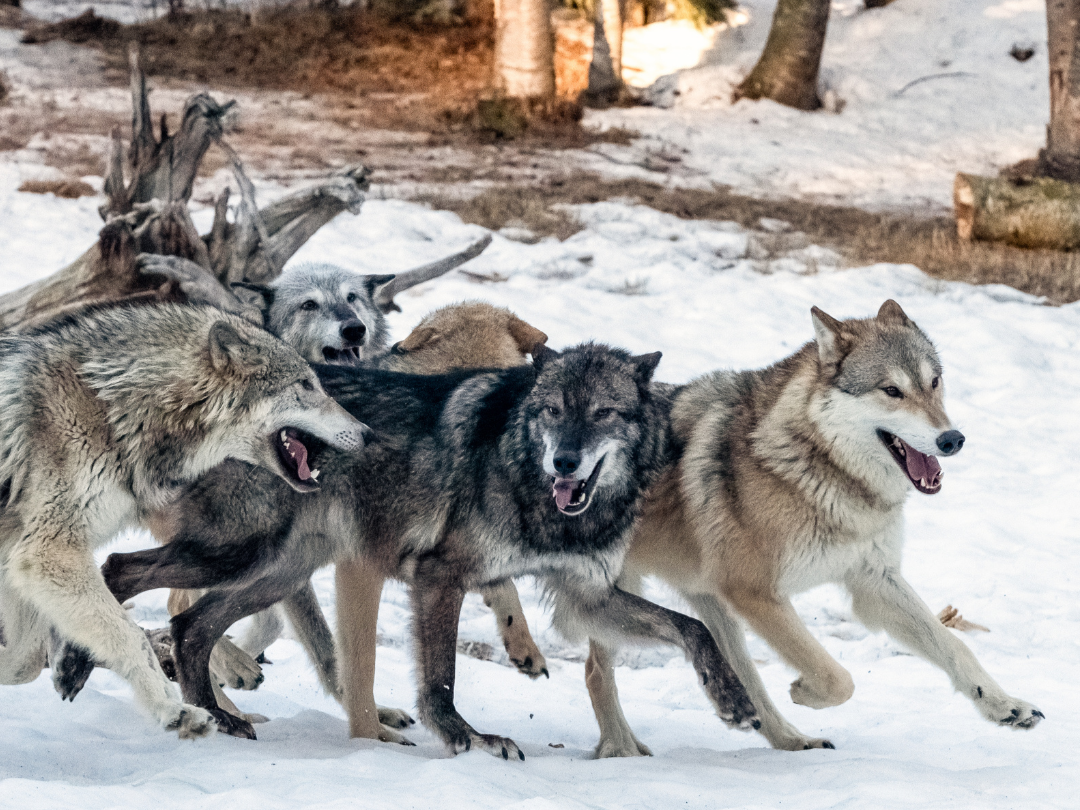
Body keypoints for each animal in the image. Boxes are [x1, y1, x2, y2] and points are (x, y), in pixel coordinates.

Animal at [0, 303, 369, 736]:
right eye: (307, 385)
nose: (368, 433)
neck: (109, 406)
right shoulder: (47, 553)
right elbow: (131, 639)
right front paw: (173, 710)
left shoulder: (22, 556)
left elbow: (23, 663)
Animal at [95, 343, 760, 751]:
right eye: (551, 410)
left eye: (602, 413)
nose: (565, 462)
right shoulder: (442, 575)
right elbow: (441, 676)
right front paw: (470, 738)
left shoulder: (586, 597)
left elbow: (693, 627)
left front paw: (733, 701)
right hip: (238, 554)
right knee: (119, 571)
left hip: (275, 572)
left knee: (190, 629)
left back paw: (222, 718)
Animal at [582, 300, 1043, 757]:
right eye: (892, 391)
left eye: (934, 382)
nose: (952, 439)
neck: (818, 468)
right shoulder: (756, 593)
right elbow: (838, 677)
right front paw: (803, 691)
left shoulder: (875, 581)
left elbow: (955, 646)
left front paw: (1006, 706)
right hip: (620, 597)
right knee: (594, 672)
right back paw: (621, 749)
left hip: (711, 606)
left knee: (744, 681)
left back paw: (791, 740)